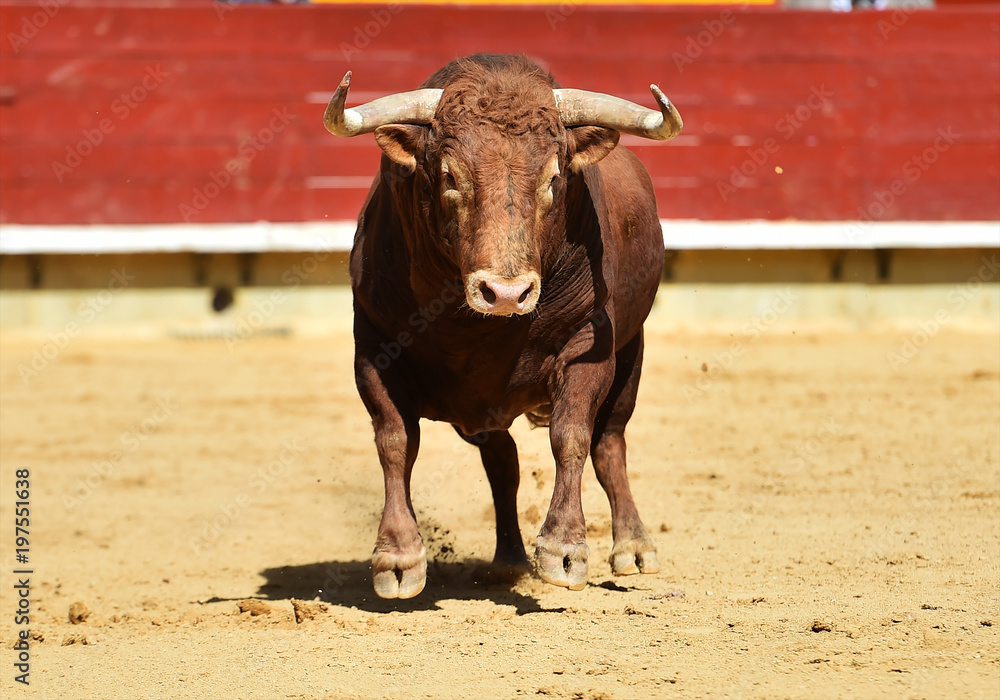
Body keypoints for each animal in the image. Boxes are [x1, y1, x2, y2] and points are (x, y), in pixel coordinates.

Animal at [324, 54, 684, 600]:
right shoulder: (373, 348)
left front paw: (564, 549)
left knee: (609, 442)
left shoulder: (588, 346)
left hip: (631, 352)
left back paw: (633, 546)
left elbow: (571, 434)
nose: (507, 293)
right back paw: (509, 559)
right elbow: (395, 441)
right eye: (449, 176)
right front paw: (399, 556)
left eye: (554, 178)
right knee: (504, 461)